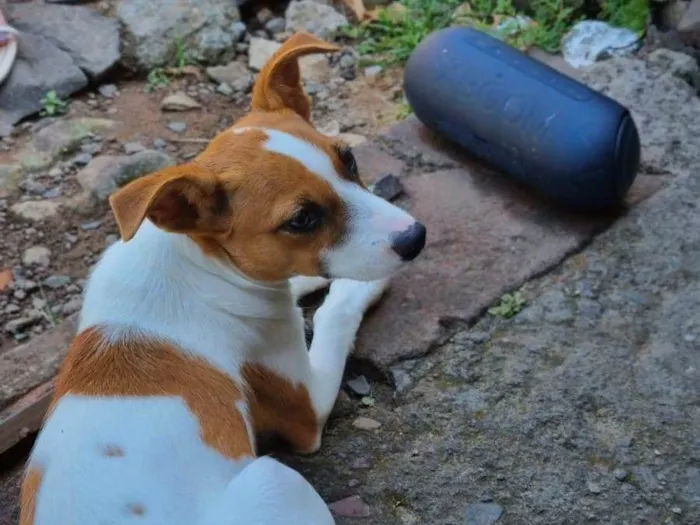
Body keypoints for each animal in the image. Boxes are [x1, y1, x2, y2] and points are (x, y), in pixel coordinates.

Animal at [19, 32, 426, 524]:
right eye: (302, 220)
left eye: (348, 159)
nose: (416, 237)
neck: (193, 262)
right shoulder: (306, 403)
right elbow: (333, 314)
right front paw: (357, 286)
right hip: (275, 478)